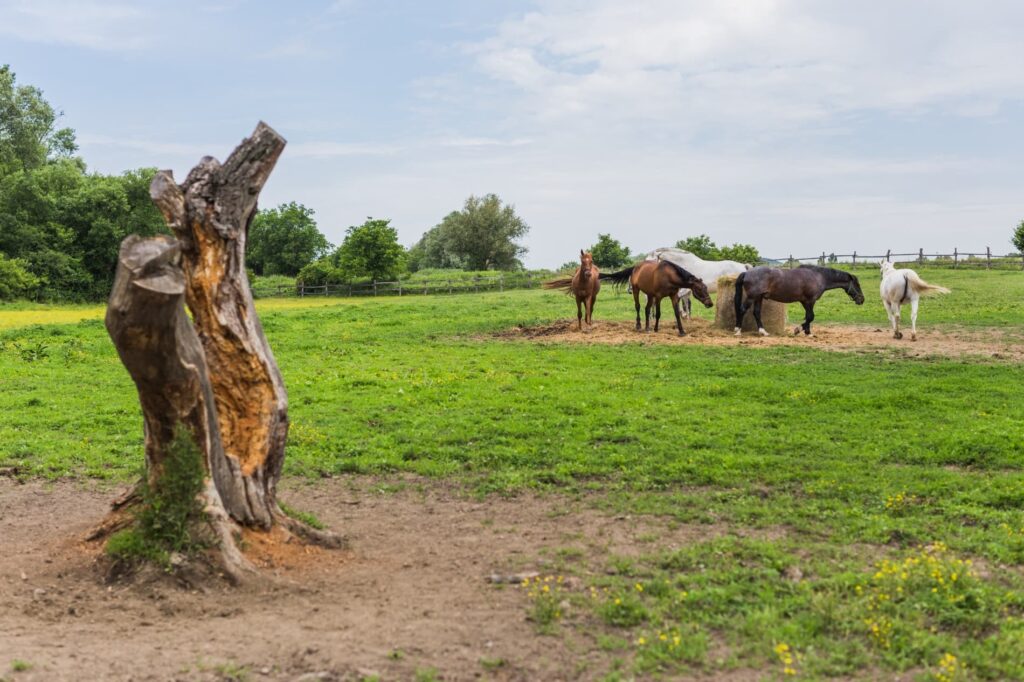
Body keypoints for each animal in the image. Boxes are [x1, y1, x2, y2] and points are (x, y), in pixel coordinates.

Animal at [733, 264, 868, 335]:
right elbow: (810, 317)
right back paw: (738, 330)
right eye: (857, 285)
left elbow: (808, 316)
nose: (862, 300)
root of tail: (747, 273)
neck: (819, 276)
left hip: (759, 298)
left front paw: (807, 332)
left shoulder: (804, 302)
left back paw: (763, 332)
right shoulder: (810, 300)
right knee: (742, 310)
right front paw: (799, 330)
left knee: (756, 313)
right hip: (752, 297)